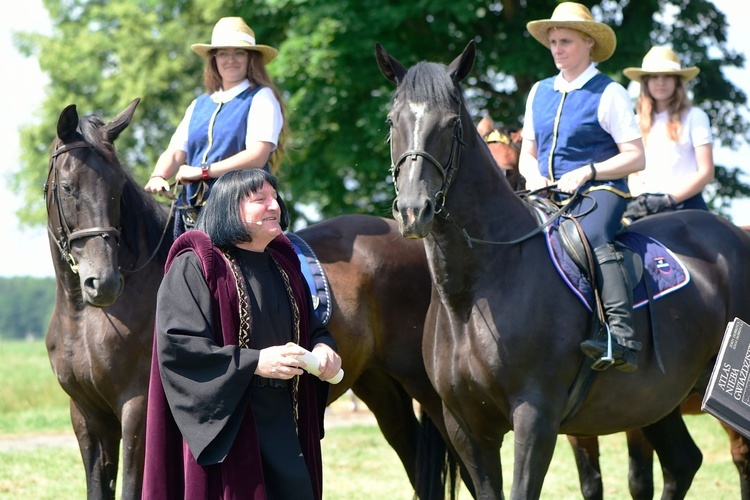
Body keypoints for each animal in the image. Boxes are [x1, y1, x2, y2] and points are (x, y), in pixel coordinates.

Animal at [47, 99, 462, 498]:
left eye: (118, 188)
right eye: (67, 187)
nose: (103, 282)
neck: (87, 318)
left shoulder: (135, 411)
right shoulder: (87, 417)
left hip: (430, 391)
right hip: (380, 386)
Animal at [376, 41, 750, 498]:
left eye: (450, 123)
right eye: (393, 121)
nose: (414, 210)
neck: (474, 293)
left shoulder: (535, 418)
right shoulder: (466, 427)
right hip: (655, 400)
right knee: (683, 462)